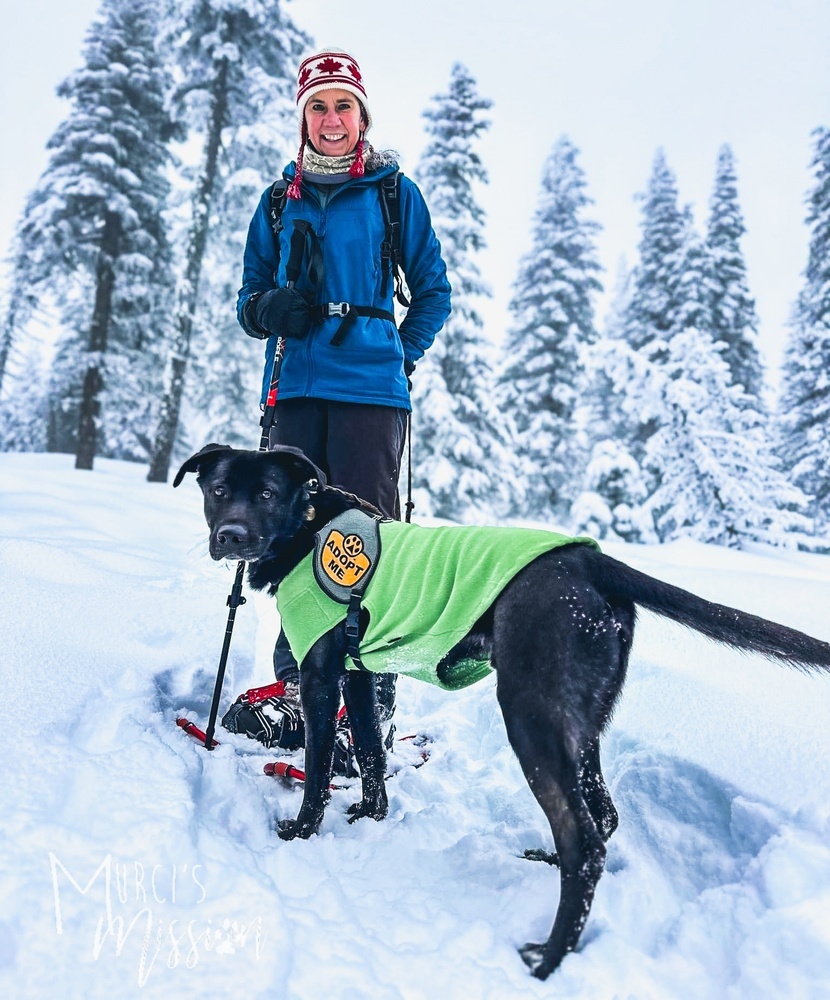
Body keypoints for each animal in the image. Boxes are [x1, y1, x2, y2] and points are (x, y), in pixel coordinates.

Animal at [174, 444, 830, 976]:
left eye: (265, 493)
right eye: (218, 490)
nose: (231, 535)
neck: (309, 530)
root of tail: (589, 562)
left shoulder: (320, 675)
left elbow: (315, 770)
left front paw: (302, 831)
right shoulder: (361, 677)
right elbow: (371, 755)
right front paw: (369, 814)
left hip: (530, 716)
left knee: (586, 842)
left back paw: (549, 959)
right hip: (579, 726)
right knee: (601, 816)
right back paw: (548, 864)